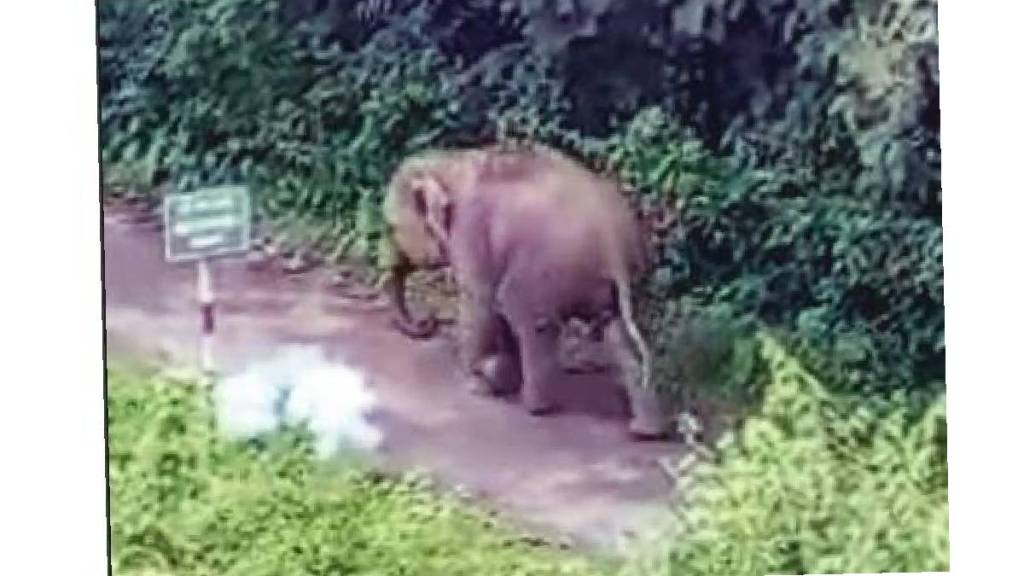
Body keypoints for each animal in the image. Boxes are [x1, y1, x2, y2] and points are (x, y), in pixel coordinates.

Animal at [377, 143, 671, 438]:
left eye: (391, 226)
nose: (428, 321)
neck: (448, 162)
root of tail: (612, 244)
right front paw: (494, 377)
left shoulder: (470, 230)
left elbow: (480, 303)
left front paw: (477, 384)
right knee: (619, 333)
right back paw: (646, 430)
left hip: (547, 271)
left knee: (527, 316)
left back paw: (535, 406)